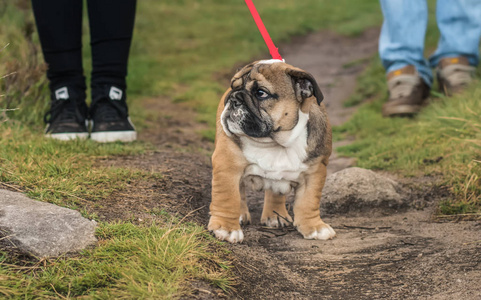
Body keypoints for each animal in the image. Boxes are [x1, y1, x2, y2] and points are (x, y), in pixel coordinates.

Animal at [208, 59, 332, 243]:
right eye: (233, 87)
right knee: (240, 190)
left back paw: (275, 216)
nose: (233, 98)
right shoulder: (227, 165)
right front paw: (225, 228)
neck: (274, 141)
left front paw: (315, 227)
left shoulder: (315, 171)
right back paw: (241, 214)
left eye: (261, 93)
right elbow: (228, 197)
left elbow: (309, 201)